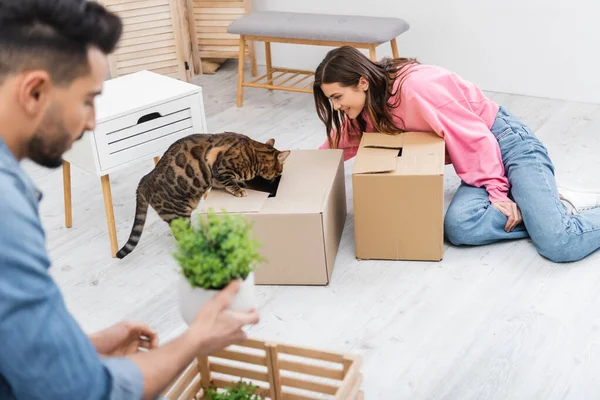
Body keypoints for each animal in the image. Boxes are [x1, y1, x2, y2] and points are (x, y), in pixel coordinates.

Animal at [115, 132, 290, 260]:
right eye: (279, 170)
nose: (279, 176)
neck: (254, 153)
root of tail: (143, 182)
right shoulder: (221, 168)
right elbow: (229, 182)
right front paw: (239, 190)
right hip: (178, 215)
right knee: (182, 237)